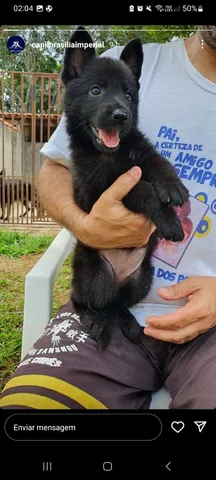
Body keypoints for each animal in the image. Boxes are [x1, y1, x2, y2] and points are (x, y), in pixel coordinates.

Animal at [61, 27, 189, 348]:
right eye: (96, 91)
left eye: (128, 95)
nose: (121, 116)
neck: (112, 154)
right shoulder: (97, 193)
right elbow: (142, 189)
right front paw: (170, 222)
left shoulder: (142, 153)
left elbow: (158, 163)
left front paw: (174, 187)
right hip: (92, 277)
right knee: (86, 299)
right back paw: (94, 319)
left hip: (141, 282)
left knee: (118, 304)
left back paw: (130, 324)